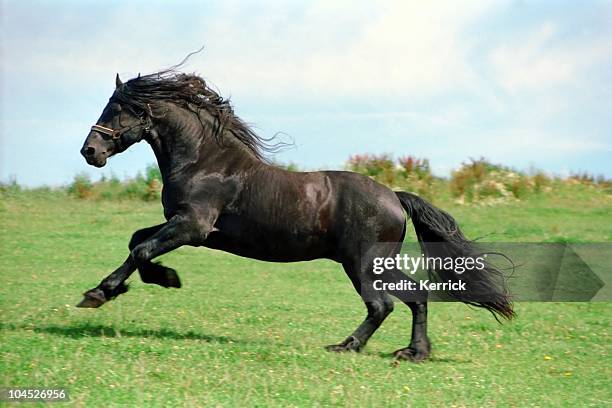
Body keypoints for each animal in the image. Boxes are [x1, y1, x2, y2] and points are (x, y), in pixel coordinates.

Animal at [80, 69, 512, 360]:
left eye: (117, 108)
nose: (90, 151)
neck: (205, 161)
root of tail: (393, 196)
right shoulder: (186, 226)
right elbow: (138, 240)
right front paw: (156, 279)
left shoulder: (193, 227)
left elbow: (141, 249)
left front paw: (100, 293)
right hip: (370, 263)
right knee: (413, 298)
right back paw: (412, 352)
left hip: (362, 261)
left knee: (383, 304)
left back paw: (348, 346)